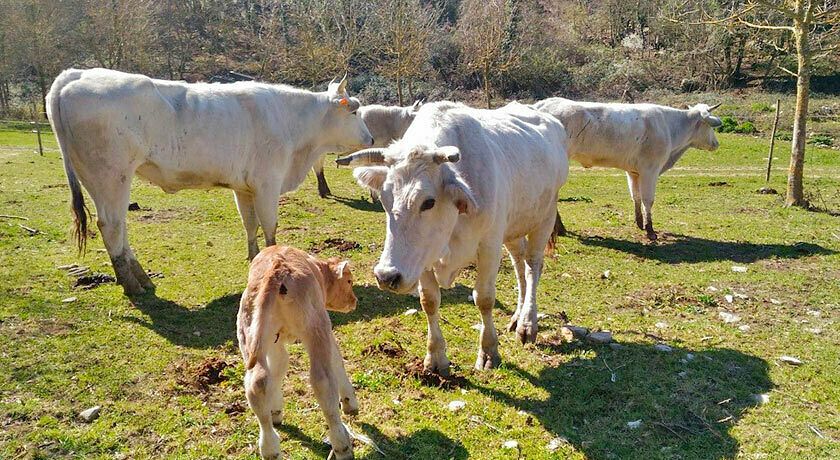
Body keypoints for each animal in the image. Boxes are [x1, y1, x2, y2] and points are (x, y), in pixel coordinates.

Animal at [46, 68, 374, 294]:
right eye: (355, 110)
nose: (371, 138)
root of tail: (76, 74)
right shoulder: (268, 182)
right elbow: (270, 227)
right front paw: (275, 265)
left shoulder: (245, 187)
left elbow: (250, 224)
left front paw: (255, 260)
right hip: (111, 175)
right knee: (112, 226)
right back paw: (132, 285)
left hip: (99, 179)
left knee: (118, 226)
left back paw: (141, 278)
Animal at [235, 246, 360, 460]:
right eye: (349, 281)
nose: (354, 301)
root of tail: (276, 271)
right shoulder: (326, 330)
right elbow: (337, 360)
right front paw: (350, 402)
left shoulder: (274, 342)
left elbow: (278, 366)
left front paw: (275, 410)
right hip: (316, 327)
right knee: (322, 381)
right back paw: (342, 444)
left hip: (247, 331)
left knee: (257, 381)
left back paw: (270, 448)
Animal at [338, 101, 568, 374]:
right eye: (384, 198)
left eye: (428, 201)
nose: (386, 276)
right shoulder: (423, 257)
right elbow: (429, 301)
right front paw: (435, 357)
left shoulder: (489, 245)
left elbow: (484, 298)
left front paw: (489, 351)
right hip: (513, 226)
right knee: (519, 263)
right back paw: (517, 316)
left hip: (544, 218)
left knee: (533, 266)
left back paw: (527, 324)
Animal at [532, 97, 720, 241]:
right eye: (710, 126)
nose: (716, 144)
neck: (669, 127)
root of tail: (542, 104)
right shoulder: (650, 170)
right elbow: (648, 199)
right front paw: (650, 230)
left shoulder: (634, 172)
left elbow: (635, 196)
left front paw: (639, 223)